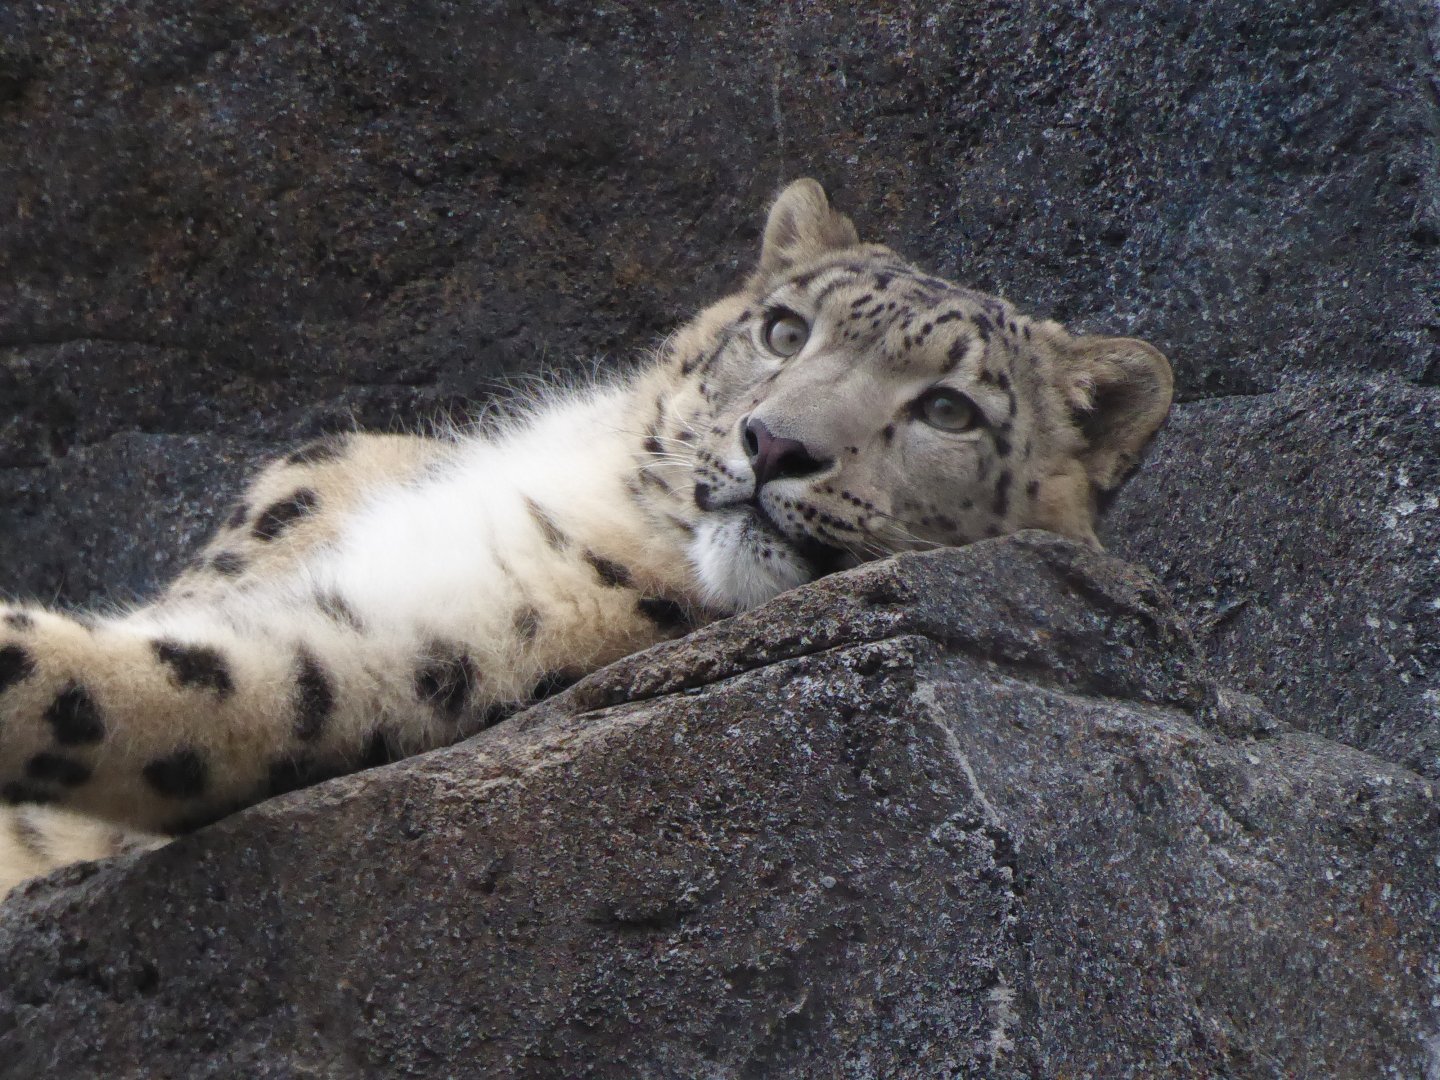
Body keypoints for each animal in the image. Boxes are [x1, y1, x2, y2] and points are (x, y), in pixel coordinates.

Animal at [0, 179, 1173, 898]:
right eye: (783, 329)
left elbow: (175, 686)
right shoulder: (315, 476)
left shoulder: (398, 658)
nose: (775, 444)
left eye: (948, 411)